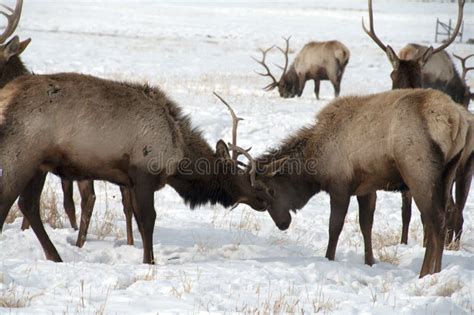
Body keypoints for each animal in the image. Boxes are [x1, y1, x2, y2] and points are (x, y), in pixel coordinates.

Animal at [0, 71, 268, 264]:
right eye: (240, 174)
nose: (264, 197)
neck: (178, 153)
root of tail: (7, 95)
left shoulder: (131, 181)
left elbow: (138, 221)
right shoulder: (144, 174)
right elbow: (148, 220)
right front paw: (149, 261)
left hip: (39, 165)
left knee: (28, 205)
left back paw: (55, 256)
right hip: (22, 154)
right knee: (9, 200)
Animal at [248, 87, 474, 278]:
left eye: (270, 190)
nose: (282, 224)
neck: (316, 163)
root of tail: (456, 121)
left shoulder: (340, 185)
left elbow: (335, 226)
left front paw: (329, 258)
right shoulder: (366, 188)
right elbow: (366, 225)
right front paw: (370, 261)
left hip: (419, 173)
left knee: (436, 220)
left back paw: (425, 273)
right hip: (449, 172)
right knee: (446, 216)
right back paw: (436, 272)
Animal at [362, 0, 470, 248]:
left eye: (392, 74)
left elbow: (407, 211)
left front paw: (405, 243)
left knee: (444, 211)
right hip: (461, 169)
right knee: (456, 210)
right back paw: (452, 245)